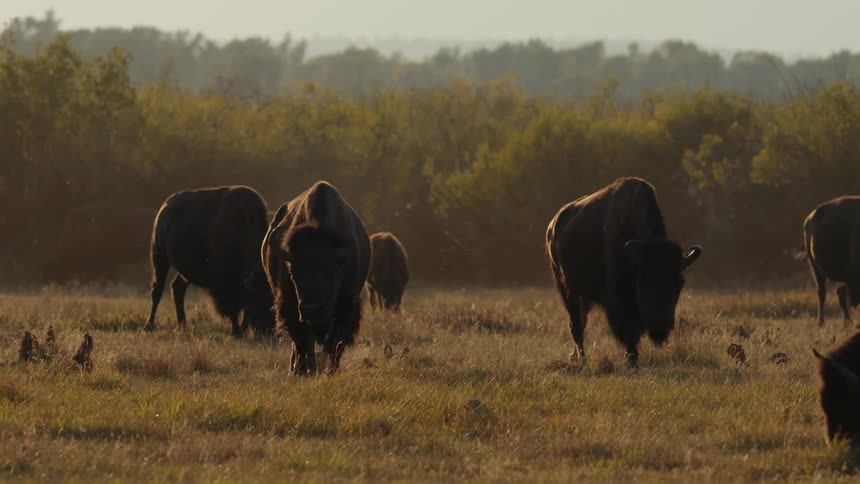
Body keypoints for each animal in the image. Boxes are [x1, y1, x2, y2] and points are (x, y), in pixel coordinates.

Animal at [144, 186, 274, 337]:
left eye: (273, 300)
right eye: (259, 299)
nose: (268, 330)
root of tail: (165, 206)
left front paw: (241, 330)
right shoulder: (226, 285)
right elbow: (232, 308)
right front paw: (236, 331)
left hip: (185, 272)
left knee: (177, 288)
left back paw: (183, 325)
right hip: (160, 257)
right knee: (157, 290)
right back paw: (149, 325)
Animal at [263, 181, 370, 375]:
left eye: (332, 272)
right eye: (293, 272)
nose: (311, 309)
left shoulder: (347, 306)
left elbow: (336, 343)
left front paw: (331, 370)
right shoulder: (291, 307)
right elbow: (303, 342)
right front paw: (303, 371)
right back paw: (296, 369)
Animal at [546, 177, 702, 367]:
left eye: (679, 283)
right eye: (643, 281)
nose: (661, 323)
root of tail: (553, 225)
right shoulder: (619, 299)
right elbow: (628, 329)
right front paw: (631, 360)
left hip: (583, 296)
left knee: (581, 322)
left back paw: (575, 356)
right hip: (567, 289)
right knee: (576, 325)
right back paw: (582, 360)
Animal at [796, 196, 860, 326]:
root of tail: (809, 219)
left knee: (839, 292)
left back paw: (847, 322)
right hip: (814, 266)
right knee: (822, 293)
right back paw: (821, 322)